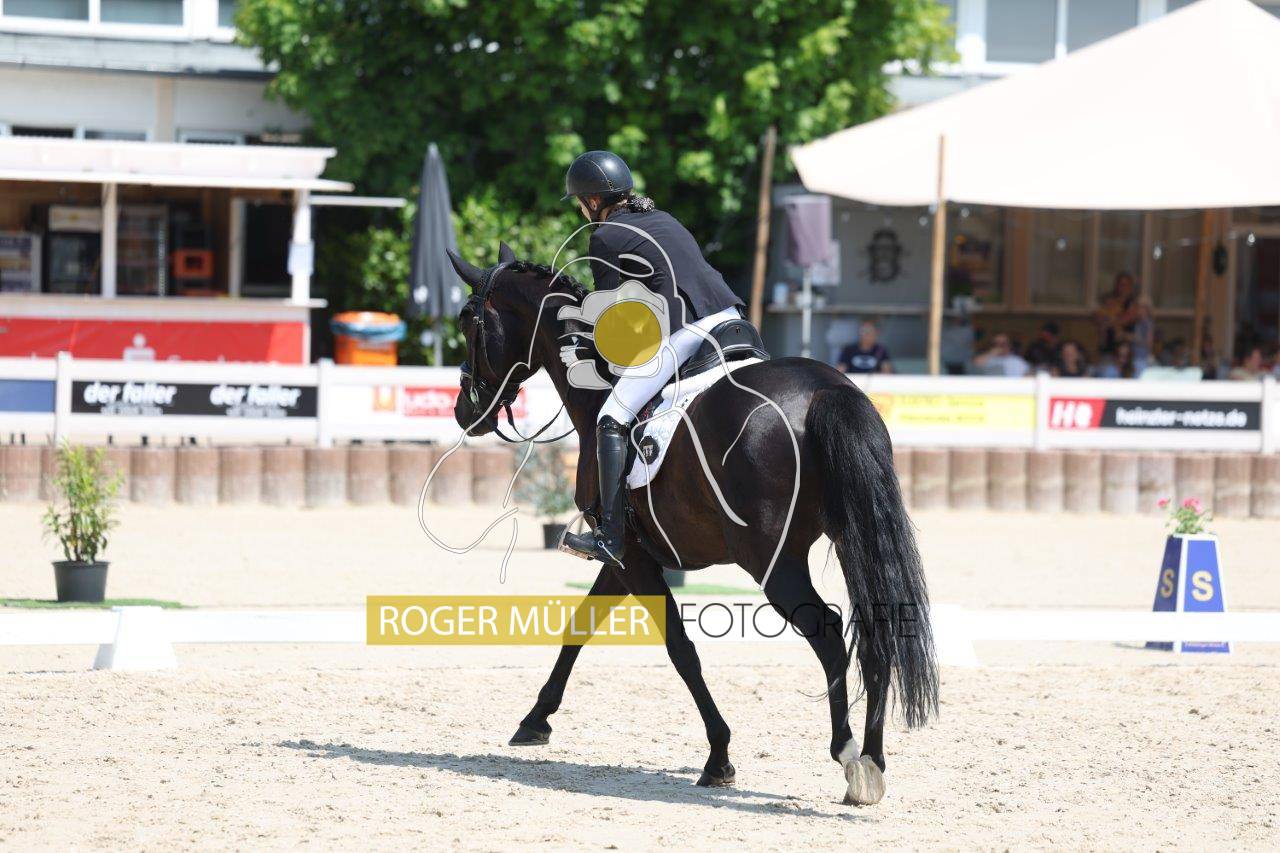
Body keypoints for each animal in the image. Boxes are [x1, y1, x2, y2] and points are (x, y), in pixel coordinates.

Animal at [446, 244, 937, 805]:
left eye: (467, 319)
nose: (464, 412)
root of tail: (824, 391)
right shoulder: (626, 555)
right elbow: (580, 628)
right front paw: (535, 719)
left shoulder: (633, 558)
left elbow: (680, 649)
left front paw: (719, 756)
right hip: (853, 536)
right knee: (878, 628)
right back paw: (873, 762)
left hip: (773, 563)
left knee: (830, 636)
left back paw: (850, 756)